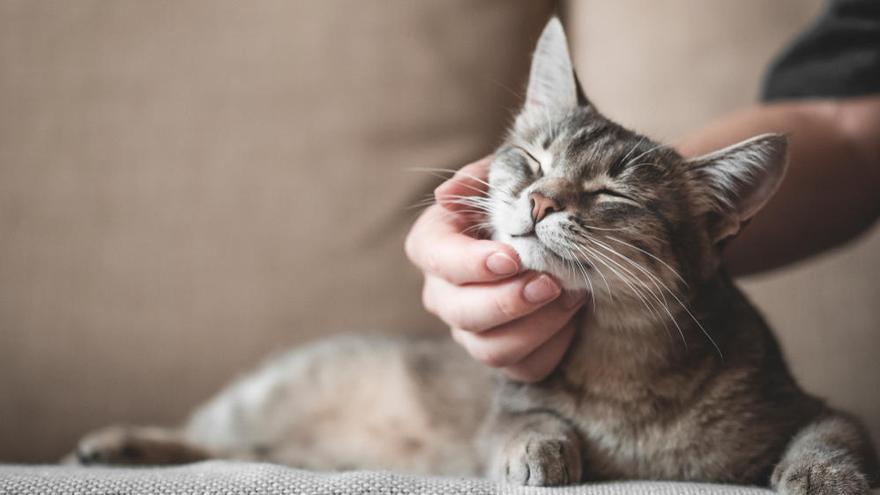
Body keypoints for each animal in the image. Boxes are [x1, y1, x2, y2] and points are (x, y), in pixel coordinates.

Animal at [72, 17, 876, 494]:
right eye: (532, 159)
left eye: (611, 193)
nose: (542, 201)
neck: (620, 370)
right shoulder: (506, 406)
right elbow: (523, 421)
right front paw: (540, 448)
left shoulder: (812, 407)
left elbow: (834, 434)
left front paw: (824, 476)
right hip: (259, 399)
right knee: (205, 435)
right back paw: (116, 443)